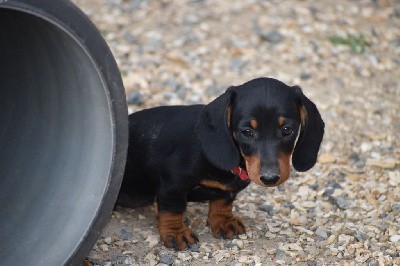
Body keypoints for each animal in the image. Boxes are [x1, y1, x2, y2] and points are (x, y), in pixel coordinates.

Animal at [117, 76, 324, 249]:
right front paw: (176, 233)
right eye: (246, 132)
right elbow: (172, 209)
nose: (270, 178)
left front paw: (223, 222)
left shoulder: (226, 191)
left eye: (287, 129)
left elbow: (222, 202)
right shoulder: (173, 184)